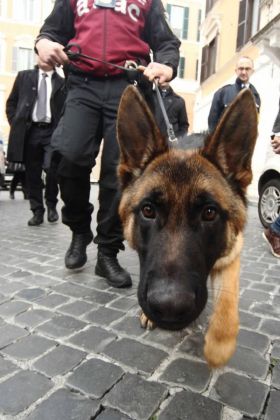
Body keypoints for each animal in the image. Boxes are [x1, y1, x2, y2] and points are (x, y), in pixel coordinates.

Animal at [116, 86, 258, 368]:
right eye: (148, 210)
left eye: (209, 213)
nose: (169, 308)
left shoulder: (232, 253)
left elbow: (227, 311)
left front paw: (218, 347)